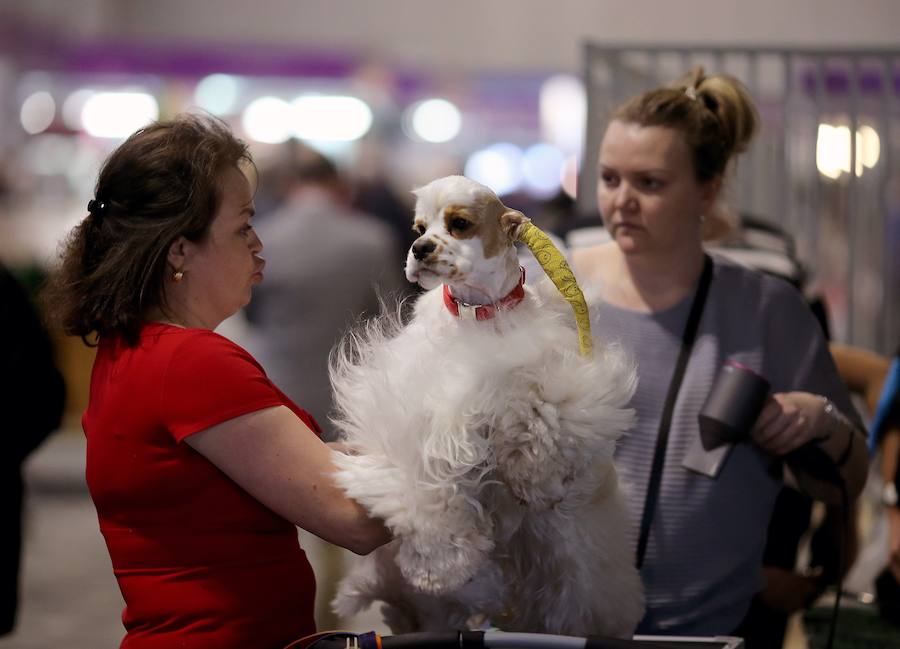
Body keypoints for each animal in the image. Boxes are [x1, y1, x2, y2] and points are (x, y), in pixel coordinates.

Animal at [326, 175, 644, 636]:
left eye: (459, 223)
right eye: (418, 228)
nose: (420, 248)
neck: (479, 313)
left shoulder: (550, 379)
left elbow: (540, 424)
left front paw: (537, 483)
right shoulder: (420, 417)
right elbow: (431, 491)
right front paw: (439, 568)